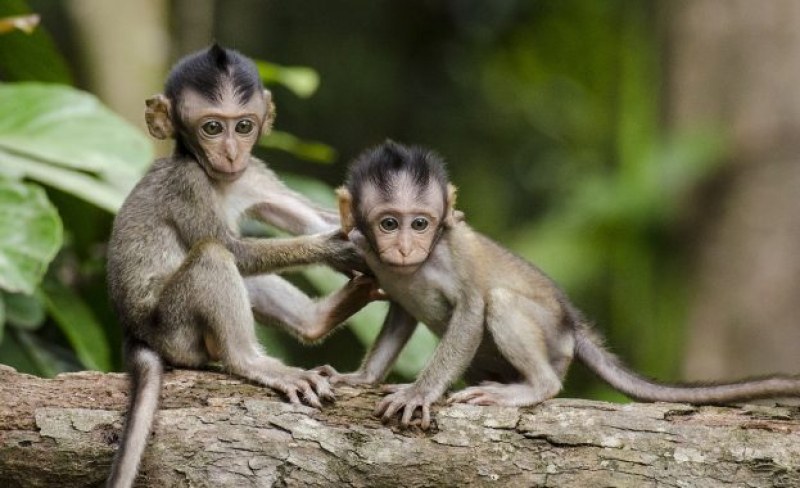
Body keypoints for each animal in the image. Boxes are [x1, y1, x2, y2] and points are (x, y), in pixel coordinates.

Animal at [104, 43, 376, 486]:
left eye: (244, 126)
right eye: (212, 128)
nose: (231, 152)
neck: (219, 179)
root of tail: (134, 333)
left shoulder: (253, 174)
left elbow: (309, 217)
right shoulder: (188, 184)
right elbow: (235, 249)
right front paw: (335, 249)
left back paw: (319, 318)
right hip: (175, 331)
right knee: (215, 255)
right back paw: (250, 361)